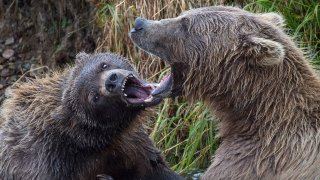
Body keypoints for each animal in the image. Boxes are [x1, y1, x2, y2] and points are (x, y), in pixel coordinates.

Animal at [0, 52, 182, 179]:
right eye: (94, 97)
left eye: (103, 65)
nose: (111, 81)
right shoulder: (50, 162)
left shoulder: (130, 143)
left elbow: (154, 166)